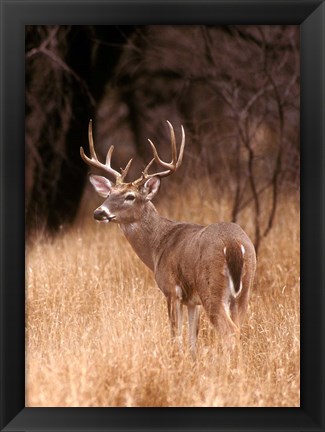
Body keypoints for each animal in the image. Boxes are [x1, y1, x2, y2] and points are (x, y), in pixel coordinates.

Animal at [79, 120, 254, 358]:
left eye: (130, 196)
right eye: (108, 194)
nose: (99, 212)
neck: (157, 247)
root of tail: (234, 244)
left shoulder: (171, 289)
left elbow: (175, 335)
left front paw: (175, 360)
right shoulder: (192, 301)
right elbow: (192, 339)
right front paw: (191, 361)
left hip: (211, 288)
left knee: (230, 332)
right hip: (244, 289)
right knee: (239, 329)